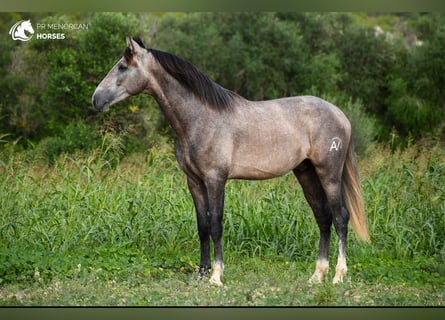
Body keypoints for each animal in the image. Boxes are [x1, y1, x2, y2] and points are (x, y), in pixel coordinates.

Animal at [92, 37, 370, 284]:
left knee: (340, 218)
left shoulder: (216, 179)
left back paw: (338, 276)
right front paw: (201, 274)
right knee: (323, 217)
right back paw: (317, 276)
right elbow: (202, 226)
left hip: (329, 174)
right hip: (306, 173)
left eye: (123, 66)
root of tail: (341, 115)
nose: (96, 99)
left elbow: (216, 224)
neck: (200, 119)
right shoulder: (194, 181)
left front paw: (216, 276)